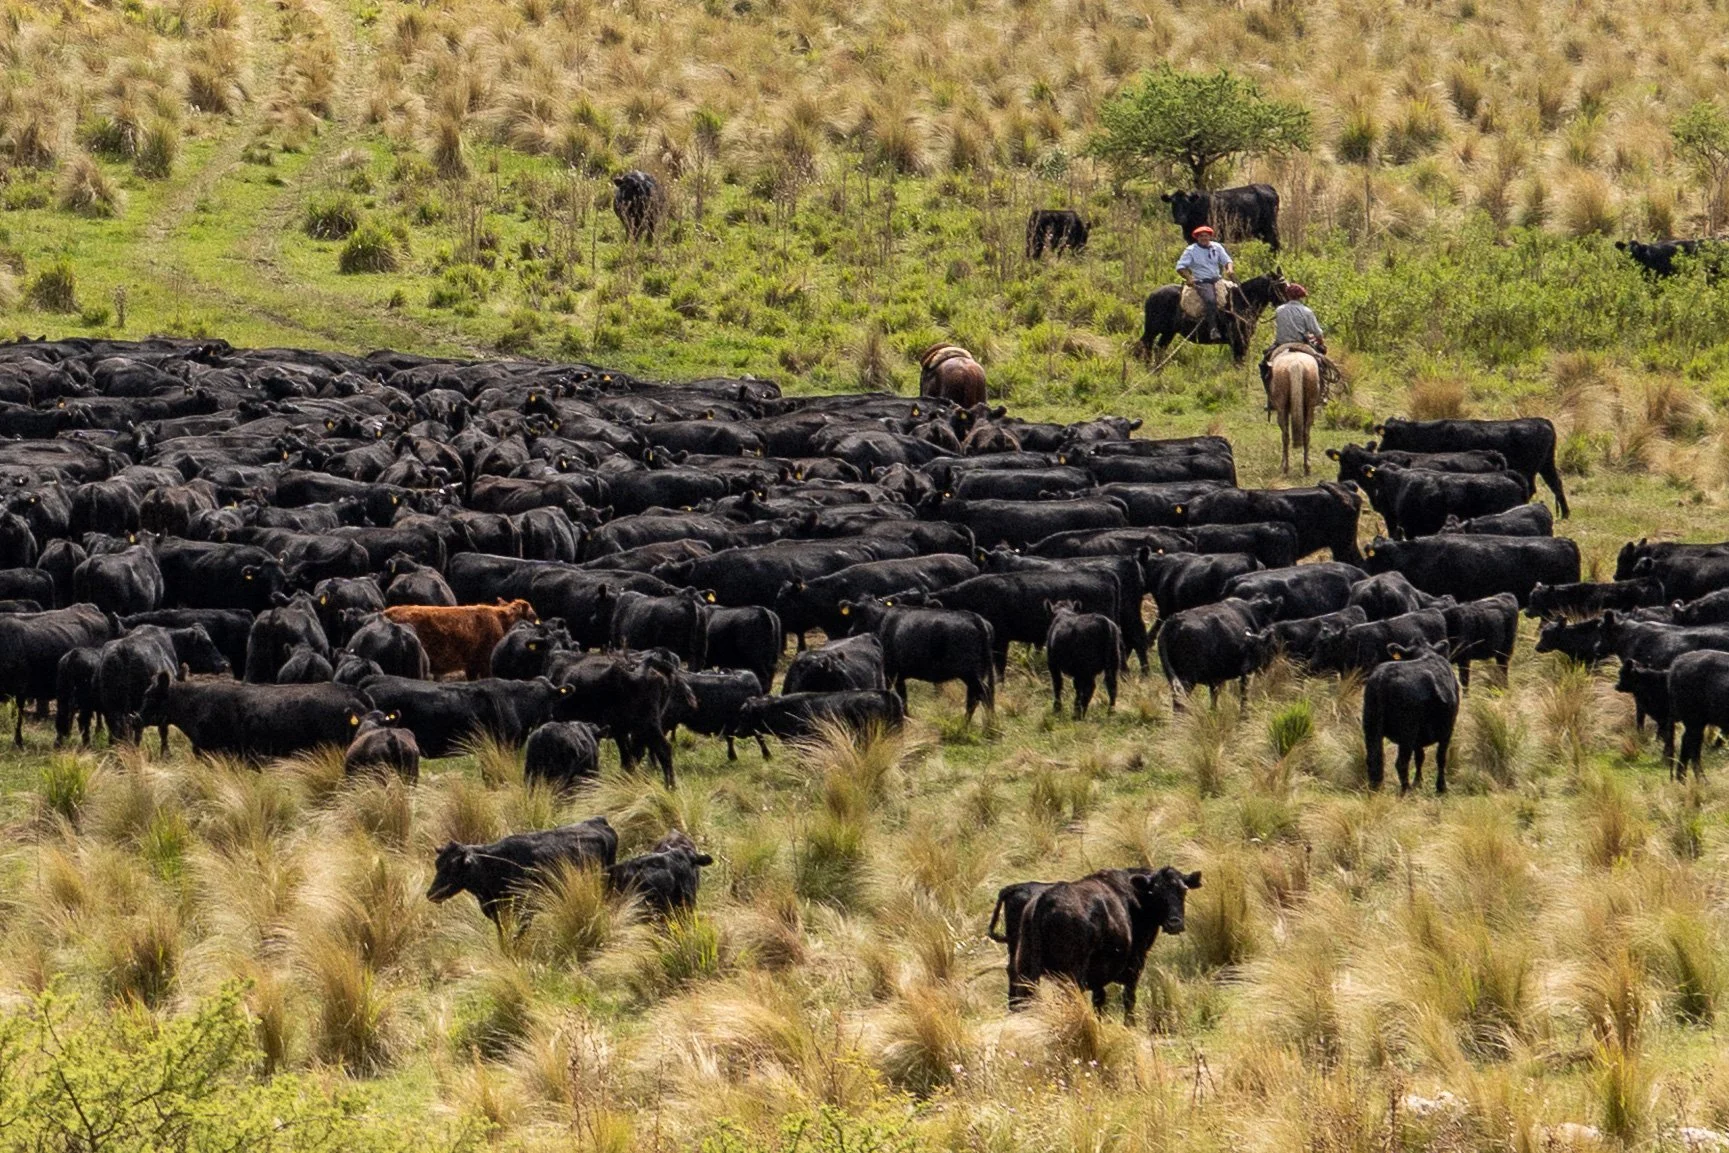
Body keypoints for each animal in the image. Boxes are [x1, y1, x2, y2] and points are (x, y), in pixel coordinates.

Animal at [1008, 866, 1203, 1020]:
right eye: (1154, 893)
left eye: (1183, 890)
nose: (1174, 923)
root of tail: (1045, 899)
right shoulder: (1135, 964)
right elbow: (1128, 998)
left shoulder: (1098, 975)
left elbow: (1099, 1000)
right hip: (1072, 975)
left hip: (1026, 971)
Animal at [1362, 641, 1460, 794]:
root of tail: (1382, 677)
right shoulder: (1447, 729)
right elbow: (1441, 757)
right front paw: (1441, 787)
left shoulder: (1419, 737)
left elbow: (1420, 756)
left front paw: (1418, 783)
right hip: (1407, 732)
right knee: (1401, 762)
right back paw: (1405, 791)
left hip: (1371, 726)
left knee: (1373, 758)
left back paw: (1375, 790)